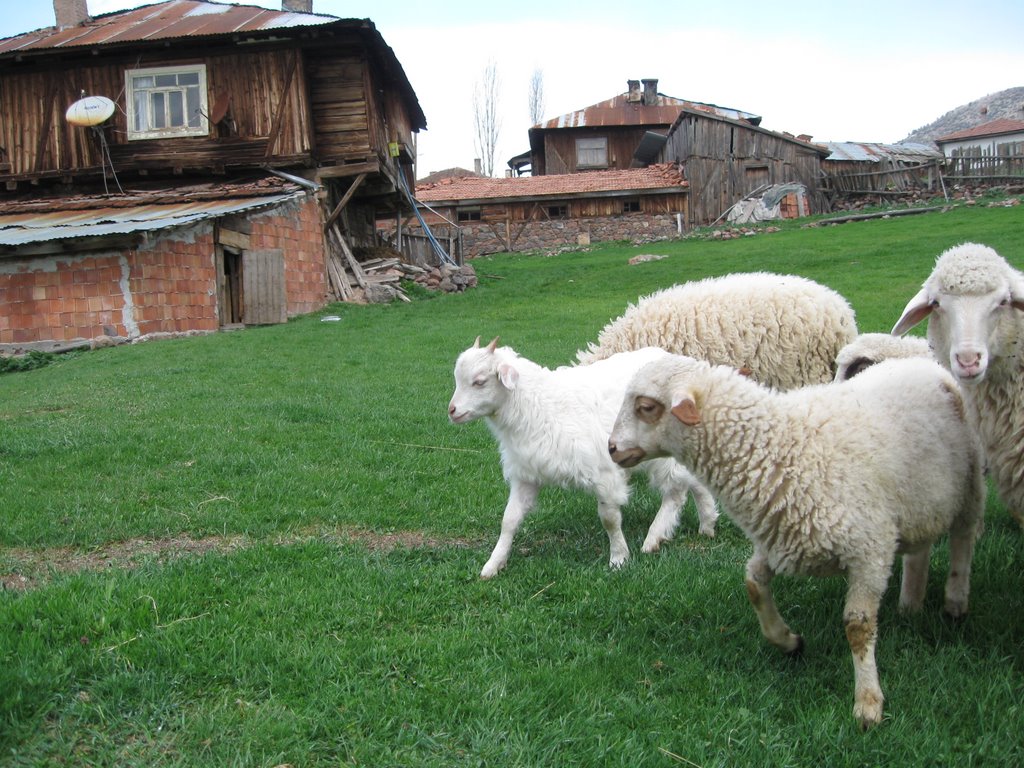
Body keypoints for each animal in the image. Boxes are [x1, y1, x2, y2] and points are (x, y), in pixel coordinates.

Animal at [448, 339, 720, 581]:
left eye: (480, 381)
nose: (452, 411)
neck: (539, 406)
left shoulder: (604, 472)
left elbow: (609, 519)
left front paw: (619, 558)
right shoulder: (527, 473)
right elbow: (509, 520)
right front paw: (493, 564)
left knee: (676, 492)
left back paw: (654, 537)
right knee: (695, 483)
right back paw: (707, 524)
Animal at [606, 356, 983, 733]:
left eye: (646, 407)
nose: (611, 448)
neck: (783, 445)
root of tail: (921, 362)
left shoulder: (870, 550)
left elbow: (858, 627)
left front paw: (868, 703)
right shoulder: (778, 540)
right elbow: (753, 585)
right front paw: (788, 642)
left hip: (969, 487)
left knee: (963, 539)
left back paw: (955, 601)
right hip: (922, 505)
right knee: (921, 549)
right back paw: (911, 602)